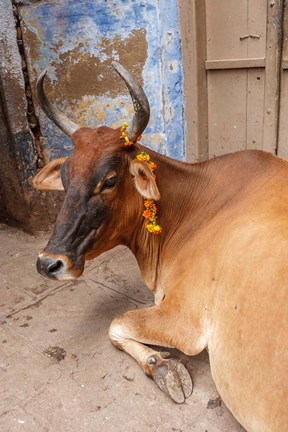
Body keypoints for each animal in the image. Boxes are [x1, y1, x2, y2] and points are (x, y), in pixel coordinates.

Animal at [33, 61, 288, 432]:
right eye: (65, 177)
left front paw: (163, 366)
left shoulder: (183, 320)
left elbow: (116, 323)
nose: (48, 263)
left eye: (109, 180)